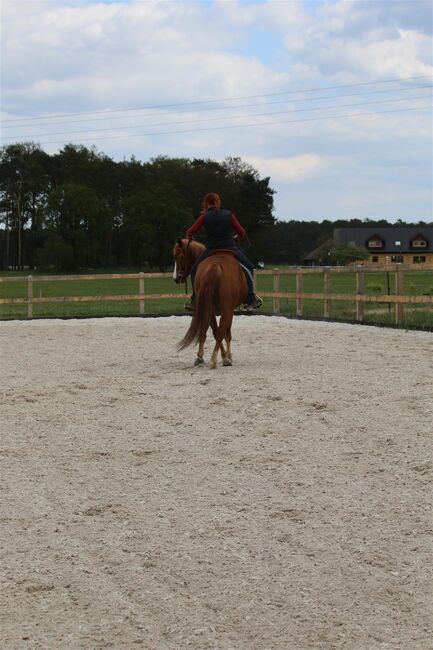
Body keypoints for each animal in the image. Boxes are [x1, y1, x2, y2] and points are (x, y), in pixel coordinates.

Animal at [171, 238, 246, 370]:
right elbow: (226, 332)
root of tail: (215, 266)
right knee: (220, 331)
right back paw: (219, 359)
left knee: (216, 331)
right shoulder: (229, 310)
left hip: (211, 308)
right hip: (225, 309)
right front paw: (228, 356)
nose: (176, 278)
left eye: (179, 256)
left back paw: (217, 358)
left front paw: (201, 357)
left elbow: (206, 332)